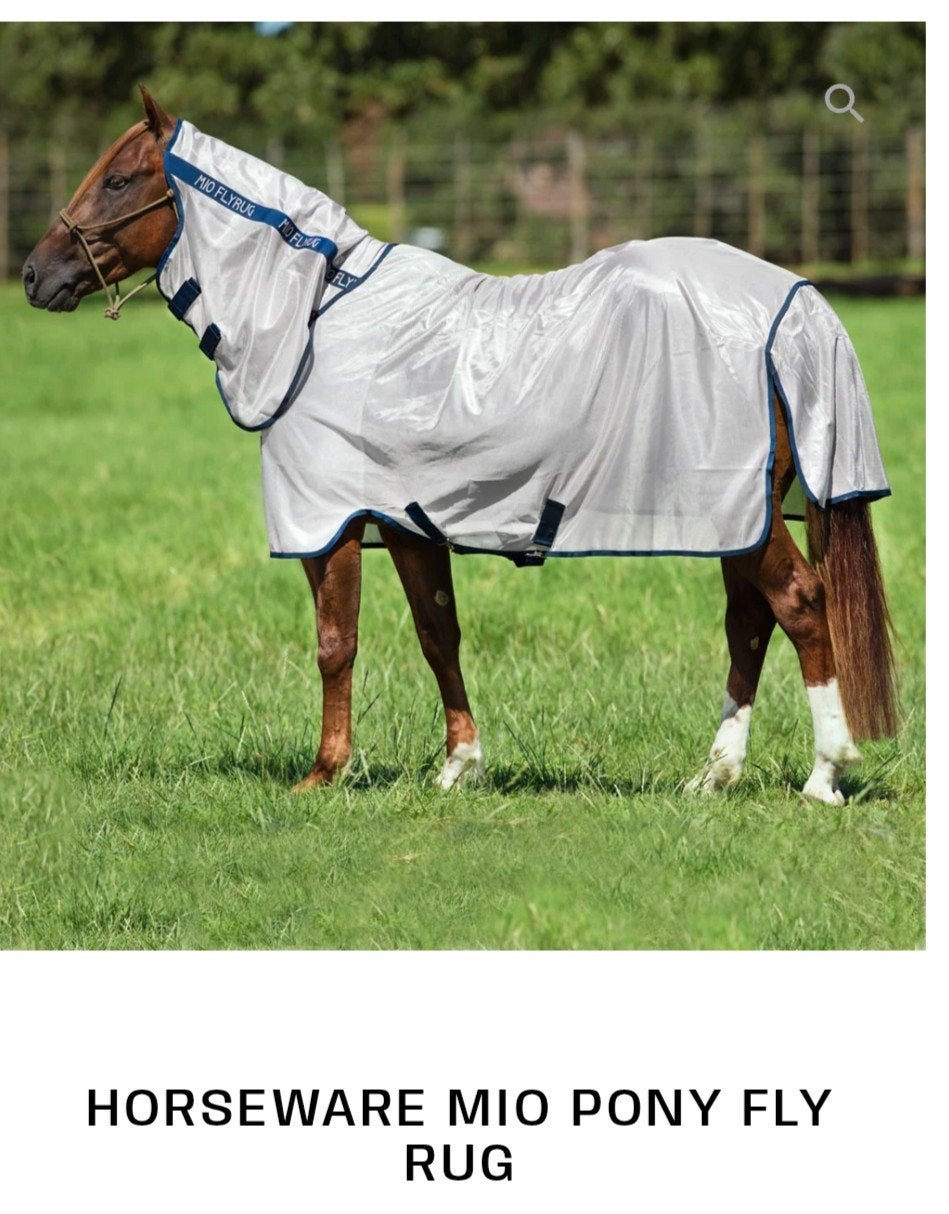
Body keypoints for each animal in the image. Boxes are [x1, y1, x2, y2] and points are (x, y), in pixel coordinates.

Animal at [22, 87, 898, 805]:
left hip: (735, 511)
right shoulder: (409, 521)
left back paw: (825, 773)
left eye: (118, 181)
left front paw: (323, 772)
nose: (34, 275)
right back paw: (713, 775)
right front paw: (458, 767)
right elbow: (436, 633)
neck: (320, 320)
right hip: (733, 515)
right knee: (748, 621)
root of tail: (793, 301)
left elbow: (334, 644)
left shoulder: (330, 524)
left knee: (799, 604)